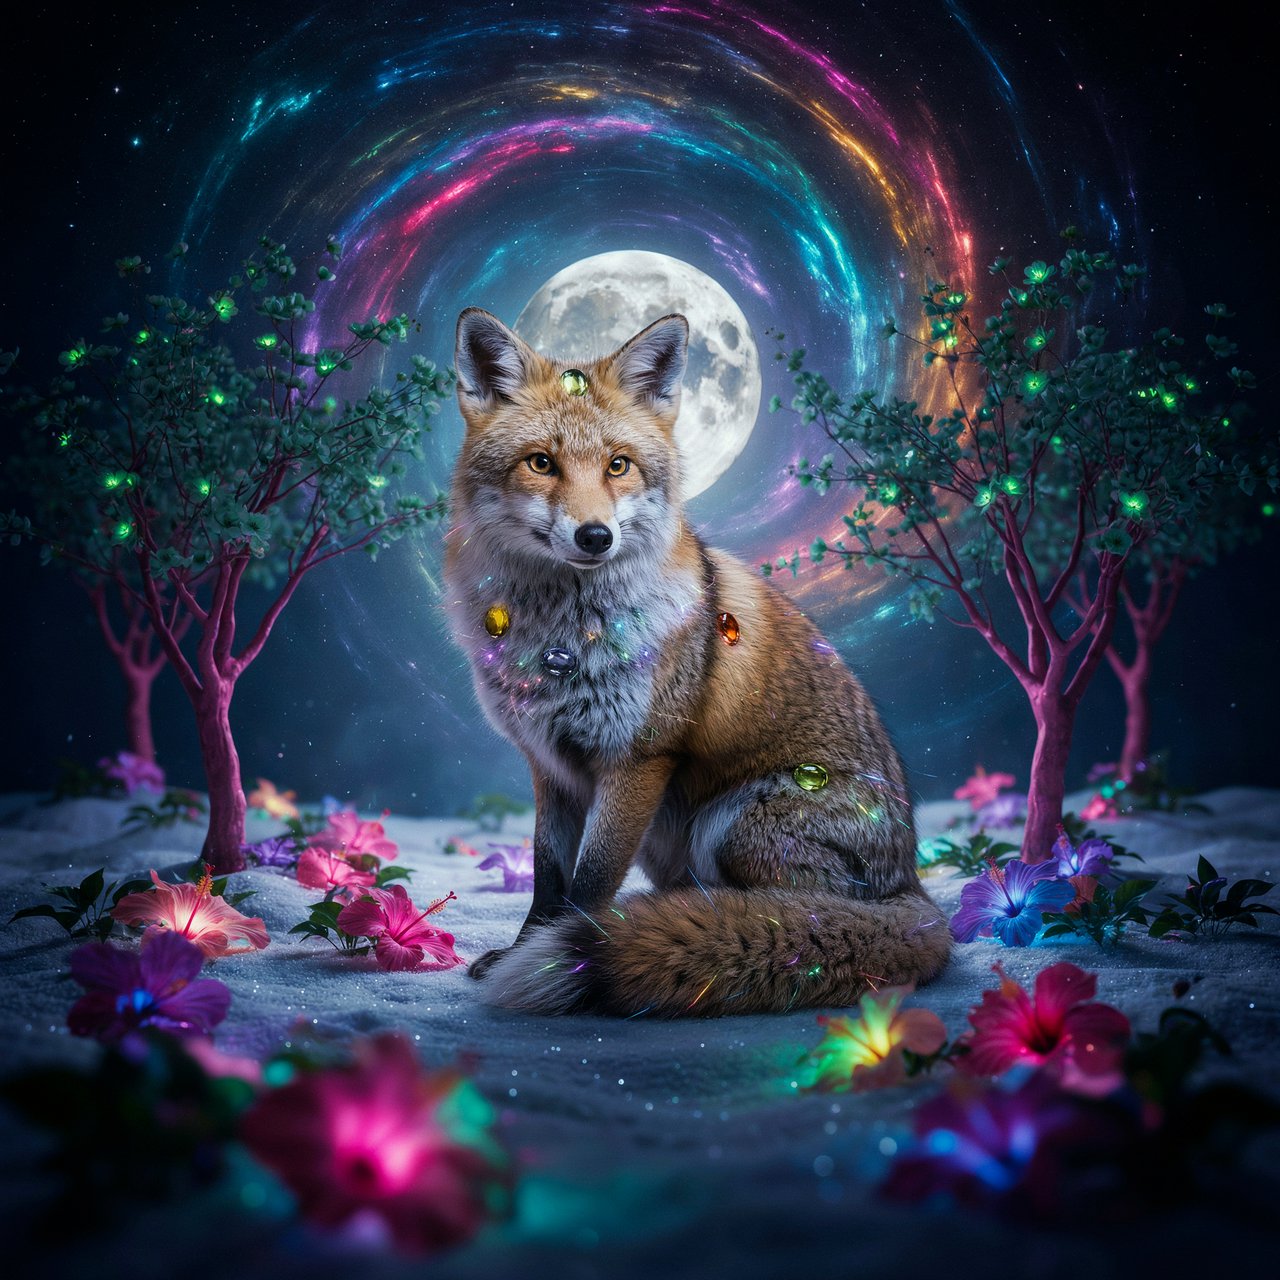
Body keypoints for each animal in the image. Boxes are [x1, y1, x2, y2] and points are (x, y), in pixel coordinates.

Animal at [442, 306, 950, 1017]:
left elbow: (589, 883)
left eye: (619, 466)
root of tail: (914, 885)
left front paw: (560, 959)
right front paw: (526, 948)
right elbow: (547, 877)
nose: (595, 536)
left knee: (797, 913)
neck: (562, 642)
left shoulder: (637, 759)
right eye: (541, 463)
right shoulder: (550, 765)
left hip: (729, 823)